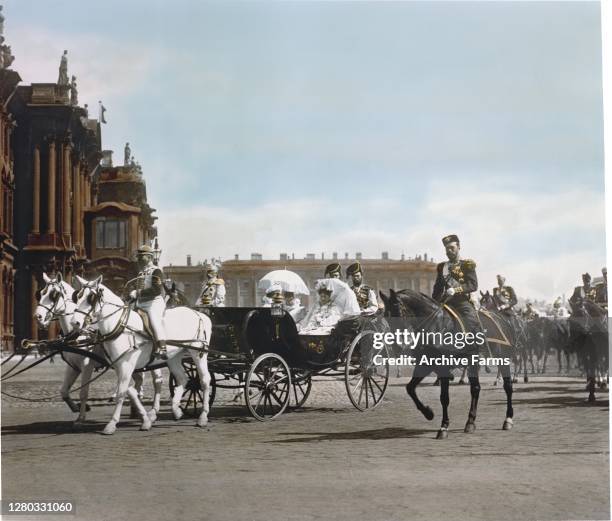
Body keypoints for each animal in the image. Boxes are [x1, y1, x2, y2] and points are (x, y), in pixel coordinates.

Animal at [35, 272, 163, 422]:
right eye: (41, 293)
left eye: (53, 294)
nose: (38, 316)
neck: (77, 335)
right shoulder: (73, 366)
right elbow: (64, 391)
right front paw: (78, 408)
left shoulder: (87, 366)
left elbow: (83, 392)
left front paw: (81, 417)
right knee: (138, 380)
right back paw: (135, 408)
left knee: (157, 381)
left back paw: (153, 410)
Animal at [70, 274, 210, 432]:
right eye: (78, 296)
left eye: (91, 297)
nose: (75, 323)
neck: (121, 326)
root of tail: (199, 314)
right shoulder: (119, 366)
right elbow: (130, 391)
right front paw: (146, 419)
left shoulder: (126, 365)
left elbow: (122, 392)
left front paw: (112, 423)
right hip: (173, 357)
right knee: (183, 379)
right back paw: (176, 409)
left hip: (198, 353)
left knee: (204, 380)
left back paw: (203, 416)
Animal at [380, 288, 512, 438]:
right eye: (385, 317)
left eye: (397, 313)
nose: (396, 347)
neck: (436, 327)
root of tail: (500, 318)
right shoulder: (425, 365)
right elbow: (410, 388)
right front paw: (428, 413)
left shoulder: (443, 366)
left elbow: (444, 397)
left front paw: (443, 427)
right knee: (476, 388)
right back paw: (470, 421)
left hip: (502, 358)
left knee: (507, 387)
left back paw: (507, 419)